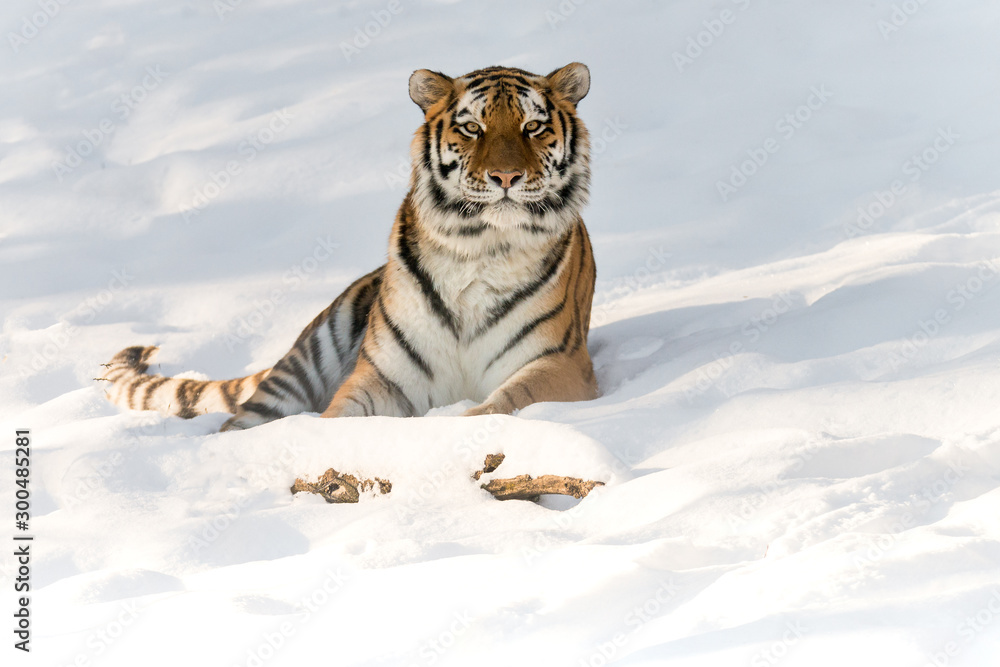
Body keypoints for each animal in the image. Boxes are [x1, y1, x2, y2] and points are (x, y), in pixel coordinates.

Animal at [102, 62, 598, 431]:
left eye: (532, 126)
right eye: (473, 128)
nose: (506, 177)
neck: (481, 246)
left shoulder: (558, 362)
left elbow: (505, 401)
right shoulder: (384, 376)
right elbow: (339, 416)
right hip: (305, 359)